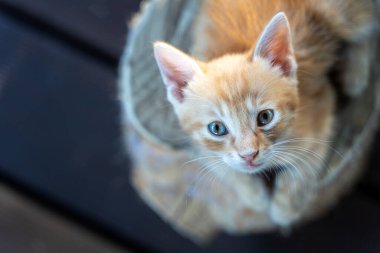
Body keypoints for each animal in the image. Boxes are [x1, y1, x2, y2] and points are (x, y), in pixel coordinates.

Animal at [152, 0, 378, 228]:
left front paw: (284, 210)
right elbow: (224, 167)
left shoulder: (321, 111)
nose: (248, 155)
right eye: (217, 128)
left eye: (265, 117)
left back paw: (356, 72)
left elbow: (303, 169)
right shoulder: (199, 146)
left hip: (338, 13)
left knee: (368, 23)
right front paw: (255, 198)